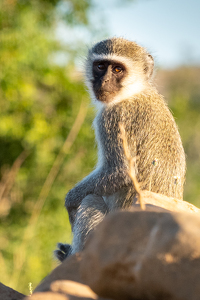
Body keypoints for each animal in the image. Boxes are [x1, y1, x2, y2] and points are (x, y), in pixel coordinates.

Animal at [54, 37, 184, 262]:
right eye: (100, 66)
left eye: (117, 69)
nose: (103, 82)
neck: (134, 91)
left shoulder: (112, 118)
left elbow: (120, 171)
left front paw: (70, 202)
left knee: (90, 199)